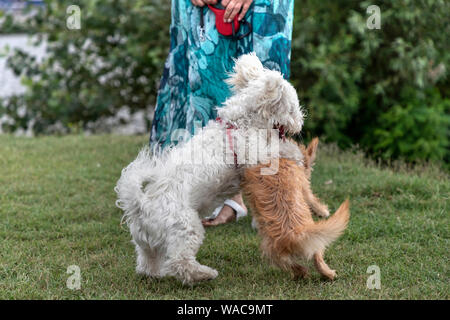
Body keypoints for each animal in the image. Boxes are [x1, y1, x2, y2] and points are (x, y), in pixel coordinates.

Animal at [115, 53, 306, 284]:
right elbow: (276, 149)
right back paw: (204, 274)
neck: (239, 123)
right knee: (180, 262)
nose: (300, 123)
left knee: (146, 261)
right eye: (292, 109)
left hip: (146, 243)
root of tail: (141, 205)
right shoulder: (252, 151)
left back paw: (155, 273)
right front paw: (296, 153)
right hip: (186, 228)